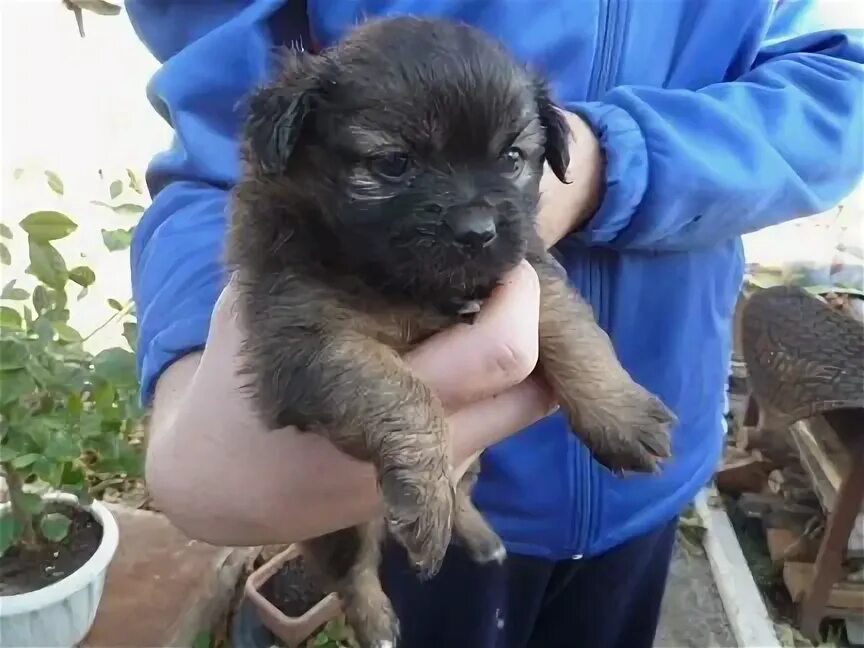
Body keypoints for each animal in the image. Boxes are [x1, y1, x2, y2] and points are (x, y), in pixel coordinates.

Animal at [224, 16, 676, 648]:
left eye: (512, 157)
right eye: (394, 164)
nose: (478, 231)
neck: (404, 283)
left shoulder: (527, 267)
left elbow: (571, 326)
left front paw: (621, 414)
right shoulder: (306, 342)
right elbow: (401, 391)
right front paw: (425, 493)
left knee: (465, 489)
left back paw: (482, 538)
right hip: (337, 523)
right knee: (352, 571)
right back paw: (377, 621)